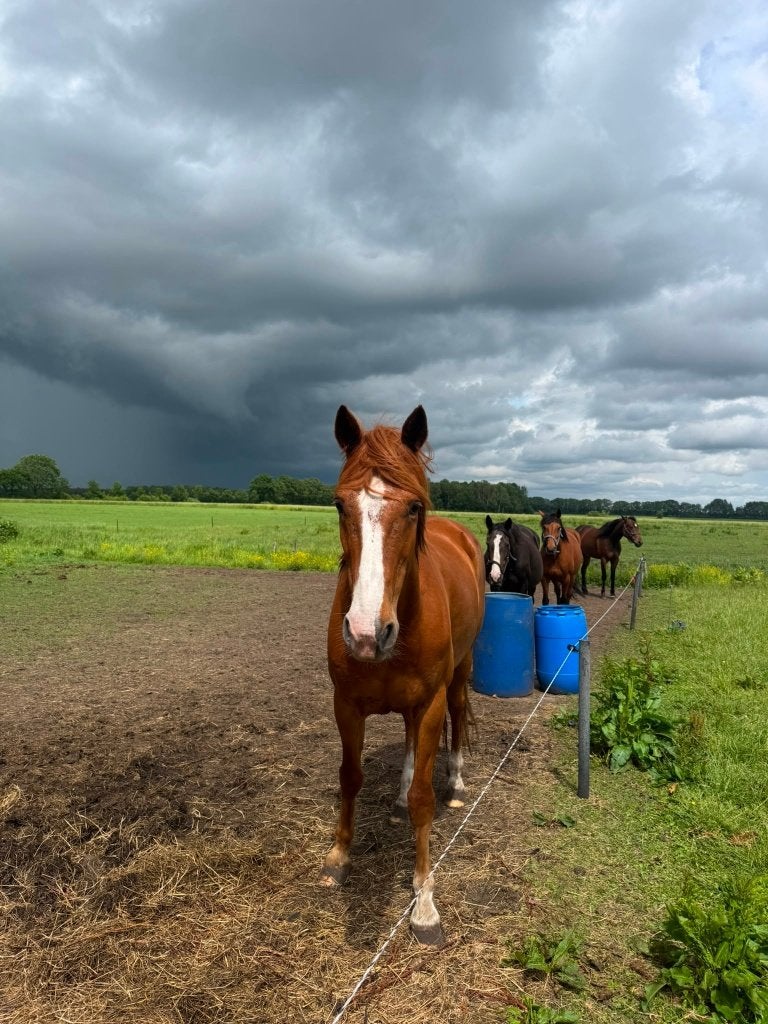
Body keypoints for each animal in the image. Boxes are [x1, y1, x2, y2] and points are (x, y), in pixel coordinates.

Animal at [322, 405, 486, 945]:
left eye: (414, 507)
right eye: (339, 505)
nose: (366, 631)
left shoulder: (431, 702)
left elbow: (423, 801)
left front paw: (424, 902)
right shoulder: (346, 704)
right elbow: (350, 776)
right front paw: (339, 856)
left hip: (456, 679)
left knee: (455, 720)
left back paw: (456, 784)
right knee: (412, 743)